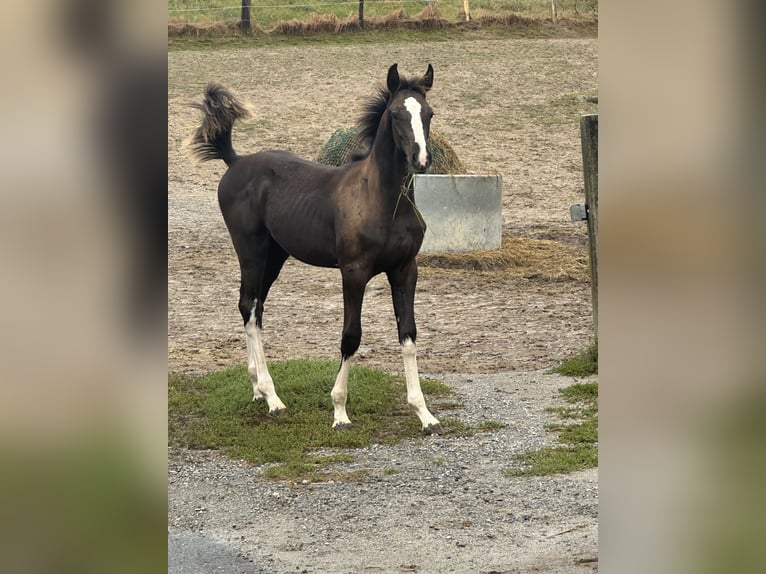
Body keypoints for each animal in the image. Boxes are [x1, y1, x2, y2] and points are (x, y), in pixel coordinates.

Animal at [188, 63, 442, 435]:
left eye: (428, 113)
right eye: (396, 114)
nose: (421, 159)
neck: (380, 200)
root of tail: (235, 162)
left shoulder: (405, 269)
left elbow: (407, 334)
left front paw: (424, 414)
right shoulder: (354, 271)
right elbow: (351, 336)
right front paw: (339, 412)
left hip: (275, 257)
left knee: (253, 307)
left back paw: (257, 388)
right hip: (251, 252)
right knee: (250, 308)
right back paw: (273, 398)